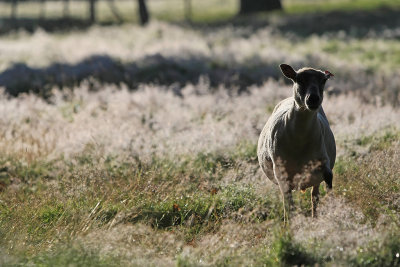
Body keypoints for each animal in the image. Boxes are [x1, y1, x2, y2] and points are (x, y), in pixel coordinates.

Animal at [258, 63, 336, 221]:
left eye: (324, 80)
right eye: (298, 79)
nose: (313, 99)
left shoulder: (323, 160)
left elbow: (328, 179)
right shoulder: (280, 170)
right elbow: (288, 204)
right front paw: (289, 223)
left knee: (314, 196)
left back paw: (314, 217)